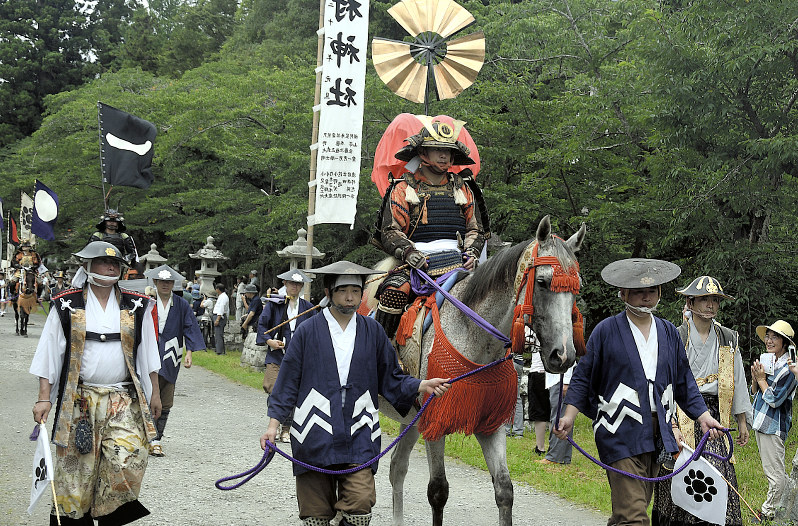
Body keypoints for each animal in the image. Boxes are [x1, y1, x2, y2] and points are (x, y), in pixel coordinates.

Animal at [370, 215, 586, 526]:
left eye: (576, 287)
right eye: (543, 282)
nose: (564, 355)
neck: (474, 335)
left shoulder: (490, 423)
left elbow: (505, 489)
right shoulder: (435, 421)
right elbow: (438, 491)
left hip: (409, 418)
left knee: (397, 467)